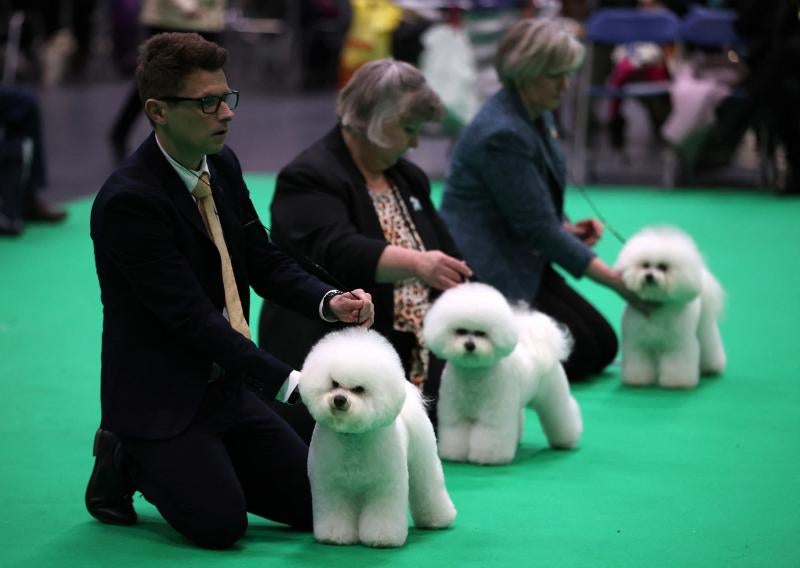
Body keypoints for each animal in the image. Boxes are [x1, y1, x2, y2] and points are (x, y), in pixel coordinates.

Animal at [296, 326, 456, 548]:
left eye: (359, 389)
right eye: (334, 383)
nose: (339, 399)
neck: (353, 437)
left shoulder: (384, 485)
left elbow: (382, 512)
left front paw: (382, 537)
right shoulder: (331, 486)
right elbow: (335, 511)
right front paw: (335, 535)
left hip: (423, 460)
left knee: (429, 487)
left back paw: (438, 519)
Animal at [422, 284, 584, 466]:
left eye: (481, 333)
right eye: (460, 331)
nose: (469, 345)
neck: (472, 374)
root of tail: (542, 346)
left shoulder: (493, 416)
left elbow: (491, 434)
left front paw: (488, 458)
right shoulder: (456, 414)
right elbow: (456, 433)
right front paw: (455, 455)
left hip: (553, 394)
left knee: (562, 413)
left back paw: (566, 440)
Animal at [612, 226, 724, 390]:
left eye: (663, 267)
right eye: (645, 265)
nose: (649, 276)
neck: (658, 304)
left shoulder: (677, 344)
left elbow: (678, 361)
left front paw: (677, 382)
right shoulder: (639, 343)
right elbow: (639, 361)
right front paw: (637, 380)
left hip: (704, 327)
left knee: (709, 343)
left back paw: (712, 367)